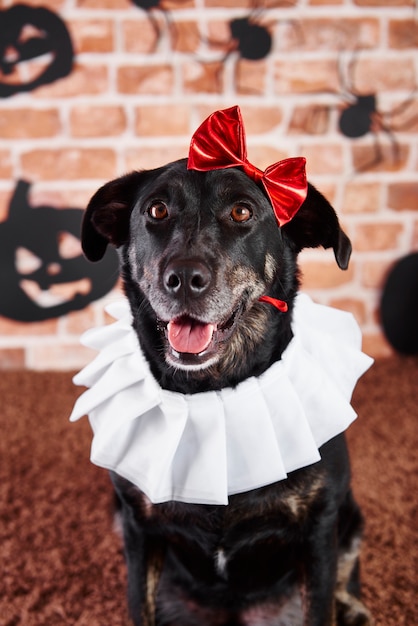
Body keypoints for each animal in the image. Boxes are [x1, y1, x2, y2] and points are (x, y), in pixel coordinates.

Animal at [80, 133, 374, 624]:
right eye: (156, 210)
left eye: (242, 212)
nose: (183, 278)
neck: (212, 390)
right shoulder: (138, 527)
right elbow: (139, 603)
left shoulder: (320, 527)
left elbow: (321, 602)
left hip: (350, 518)